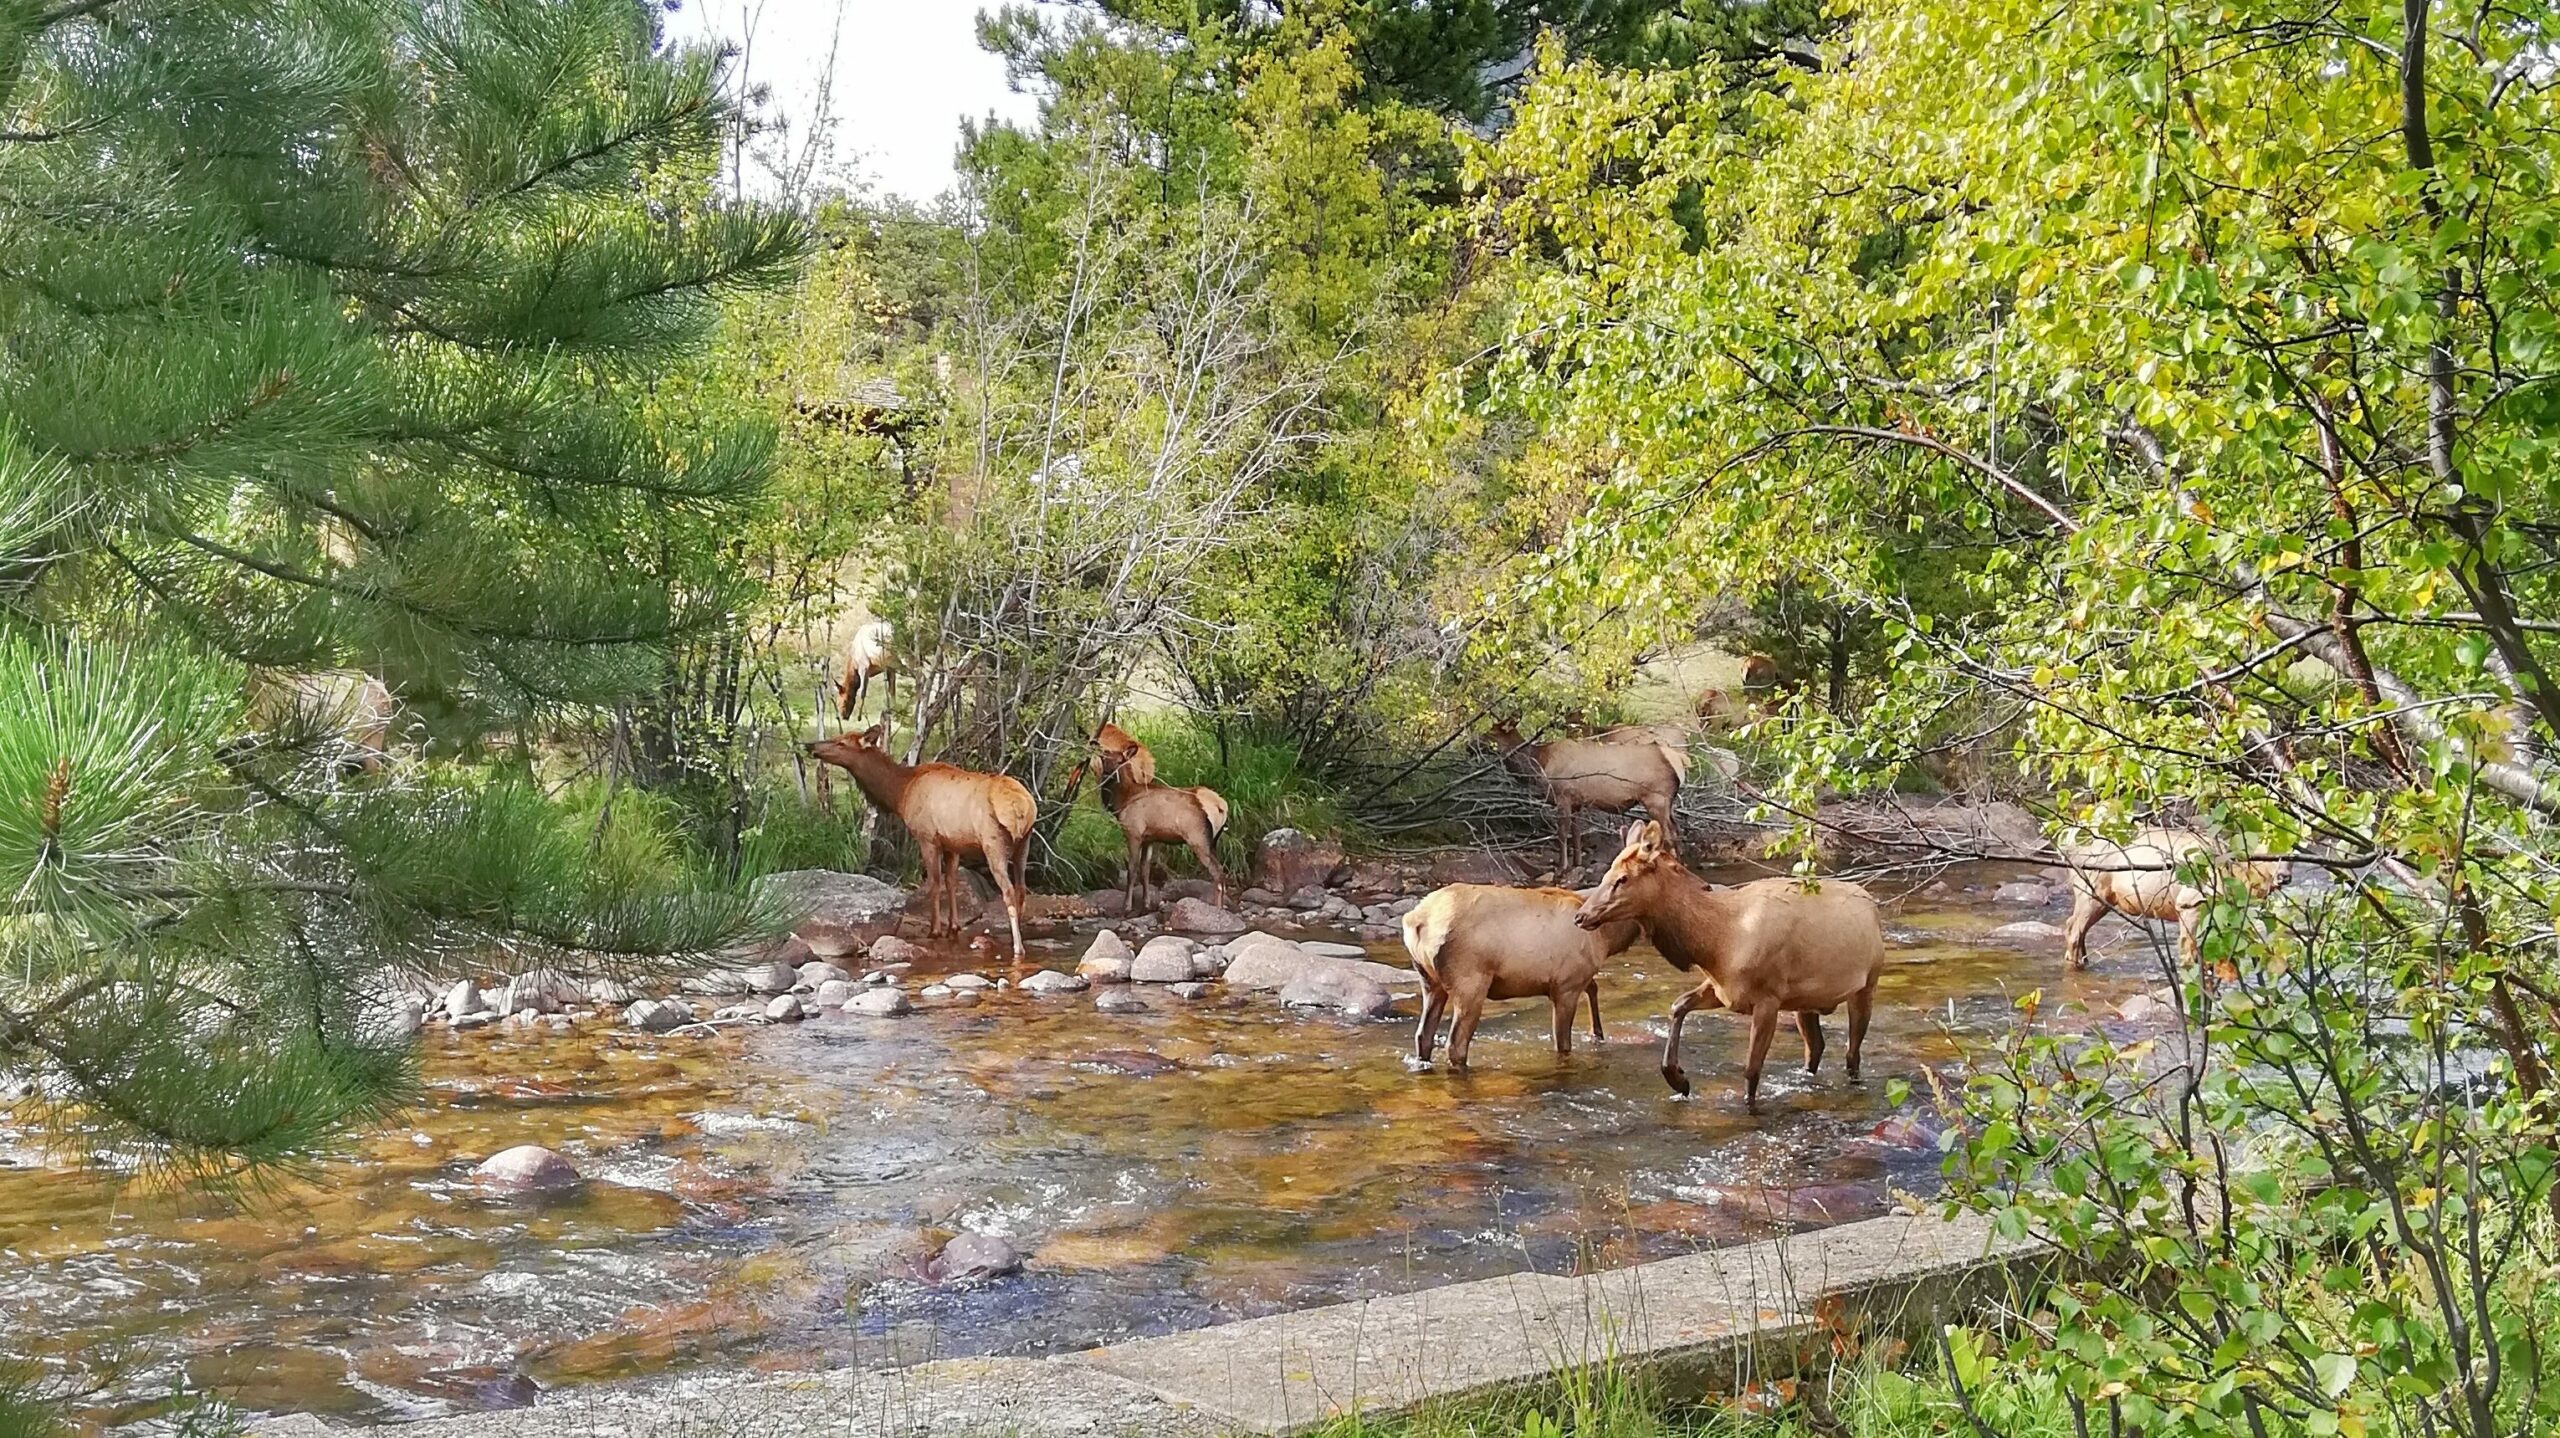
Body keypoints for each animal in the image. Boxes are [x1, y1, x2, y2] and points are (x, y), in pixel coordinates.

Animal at [803, 721, 1034, 956]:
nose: (810, 745)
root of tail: (1023, 807)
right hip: (1024, 842)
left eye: (841, 743)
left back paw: (1018, 947)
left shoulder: (927, 836)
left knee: (1008, 890)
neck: (900, 794)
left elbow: (933, 882)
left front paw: (935, 930)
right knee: (1021, 888)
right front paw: (953, 926)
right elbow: (951, 880)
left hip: (993, 843)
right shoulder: (952, 843)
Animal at [1070, 716, 1228, 905]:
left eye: (1120, 761)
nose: (1109, 774)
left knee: (1218, 874)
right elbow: (1145, 870)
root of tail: (1221, 807)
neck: (1122, 801)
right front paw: (1146, 903)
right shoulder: (1150, 838)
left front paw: (1127, 905)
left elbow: (1132, 870)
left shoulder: (1133, 831)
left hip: (1199, 839)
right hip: (1213, 841)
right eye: (1103, 758)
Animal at [1402, 880, 1638, 1069]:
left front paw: (1597, 1035)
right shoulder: (1566, 986)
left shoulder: (1576, 979)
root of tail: (1417, 923)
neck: (1606, 940)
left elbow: (1594, 988)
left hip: (1430, 981)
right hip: (1470, 981)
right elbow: (1563, 1044)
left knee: (1423, 1034)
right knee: (1456, 1043)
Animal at [1495, 711, 1689, 859]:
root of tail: (1679, 760)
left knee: (1669, 837)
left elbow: (1562, 833)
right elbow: (1576, 833)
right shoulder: (1576, 801)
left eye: (1490, 733)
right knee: (1677, 831)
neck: (1541, 765)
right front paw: (1577, 863)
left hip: (1656, 799)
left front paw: (1561, 870)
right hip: (1667, 802)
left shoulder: (1563, 795)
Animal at [1566, 818, 1894, 1110]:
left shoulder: (1768, 999)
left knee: (1852, 1054)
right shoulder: (1724, 990)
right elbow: (1678, 1004)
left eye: (1623, 879)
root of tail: (1871, 904)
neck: (1718, 943)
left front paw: (1747, 1108)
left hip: (1866, 985)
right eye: (1607, 872)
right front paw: (1679, 1080)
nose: (1581, 916)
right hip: (1805, 1002)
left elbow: (1751, 1069)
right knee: (1816, 1048)